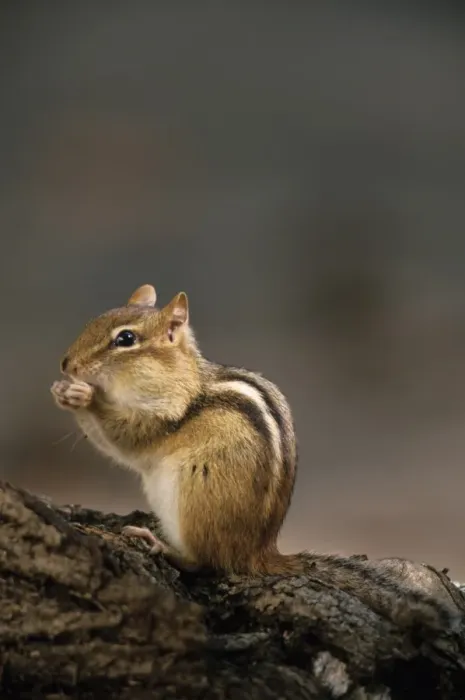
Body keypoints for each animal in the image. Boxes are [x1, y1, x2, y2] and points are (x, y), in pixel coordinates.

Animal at [51, 284, 301, 576]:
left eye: (126, 338)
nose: (66, 364)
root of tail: (257, 553)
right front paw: (62, 391)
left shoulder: (162, 418)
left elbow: (124, 438)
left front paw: (87, 397)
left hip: (195, 498)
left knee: (203, 561)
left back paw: (159, 543)